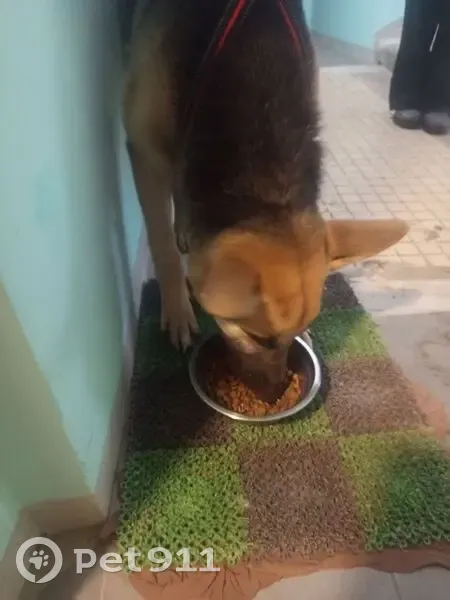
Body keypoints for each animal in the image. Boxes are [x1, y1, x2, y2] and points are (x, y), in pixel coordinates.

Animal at [122, 0, 409, 396]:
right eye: (256, 337)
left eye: (294, 335)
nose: (277, 394)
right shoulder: (144, 153)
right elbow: (162, 246)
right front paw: (178, 308)